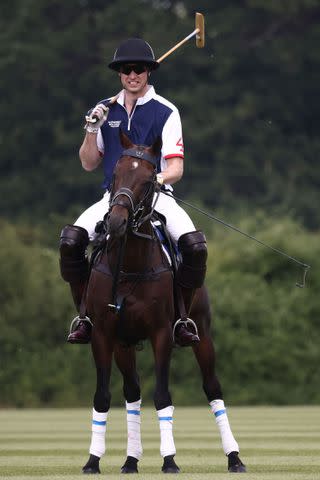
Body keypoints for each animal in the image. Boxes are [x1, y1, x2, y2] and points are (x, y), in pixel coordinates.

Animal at [80, 132, 245, 476]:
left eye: (148, 180)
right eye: (114, 175)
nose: (116, 222)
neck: (129, 265)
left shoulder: (160, 334)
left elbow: (162, 395)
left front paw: (169, 460)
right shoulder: (104, 334)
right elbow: (103, 396)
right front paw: (92, 461)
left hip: (202, 334)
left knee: (213, 388)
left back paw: (234, 457)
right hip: (124, 344)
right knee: (132, 393)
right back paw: (130, 460)